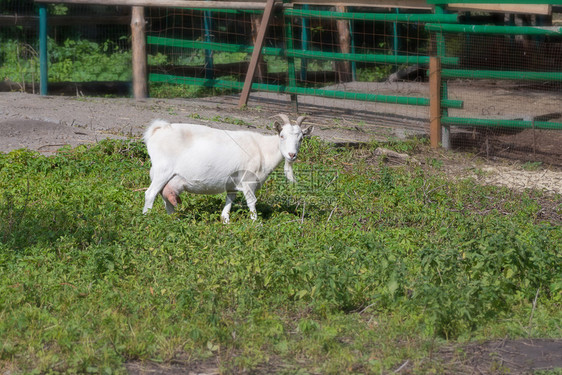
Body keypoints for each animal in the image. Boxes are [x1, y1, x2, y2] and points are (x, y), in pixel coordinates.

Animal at [142, 114, 312, 223]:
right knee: (150, 194)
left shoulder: (232, 183)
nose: (292, 155)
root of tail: (159, 130)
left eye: (301, 139)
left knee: (165, 195)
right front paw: (255, 223)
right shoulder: (248, 180)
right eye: (282, 136)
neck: (262, 149)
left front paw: (225, 220)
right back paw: (147, 218)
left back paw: (174, 219)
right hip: (162, 170)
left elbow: (230, 200)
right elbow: (252, 202)